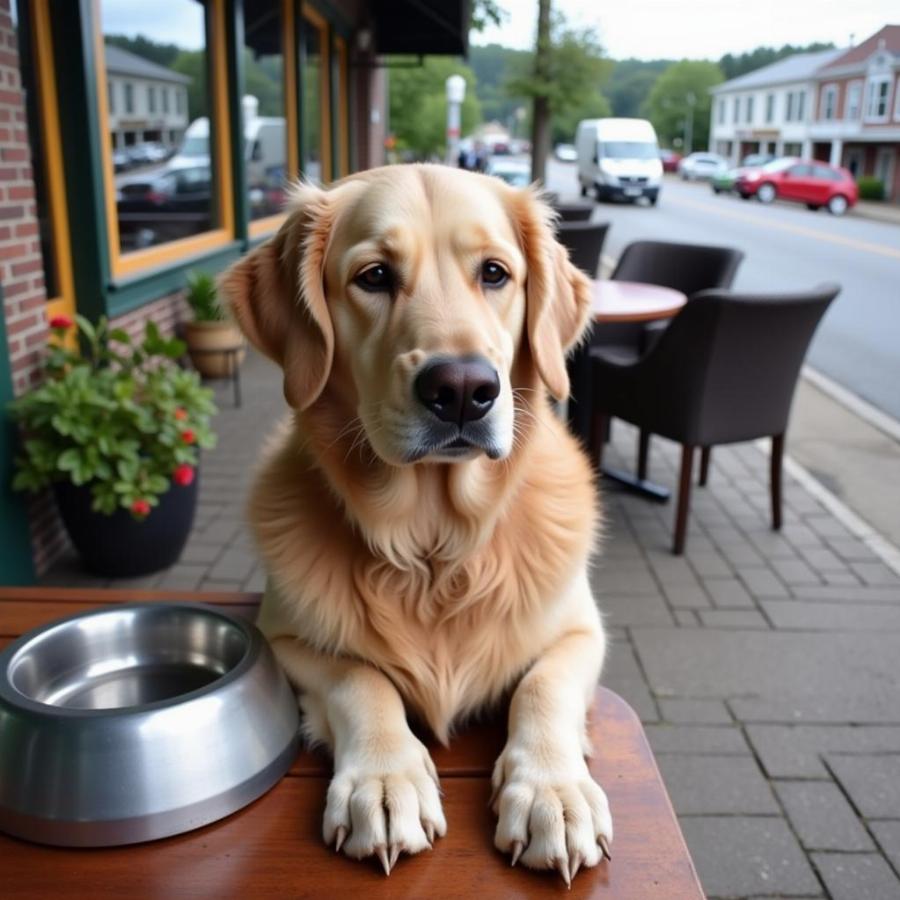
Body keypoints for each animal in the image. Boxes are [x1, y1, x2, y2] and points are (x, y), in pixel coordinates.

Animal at [221, 165, 612, 884]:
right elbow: (361, 678)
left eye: (494, 273)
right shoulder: (281, 637)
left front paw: (553, 791)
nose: (461, 389)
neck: (434, 550)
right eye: (374, 276)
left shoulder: (582, 631)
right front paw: (383, 780)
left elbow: (541, 686)